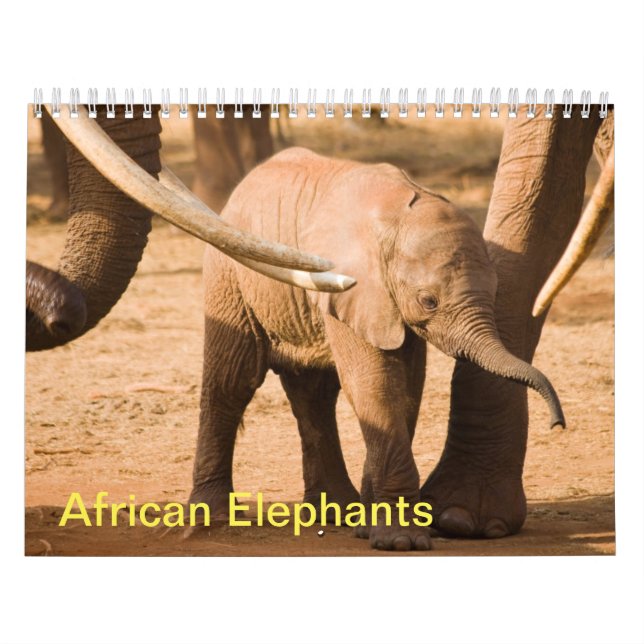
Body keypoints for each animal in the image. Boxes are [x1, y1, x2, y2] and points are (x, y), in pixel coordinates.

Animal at [189, 145, 568, 551]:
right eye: (429, 301)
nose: (557, 423)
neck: (397, 218)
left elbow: (406, 389)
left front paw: (368, 527)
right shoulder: (350, 284)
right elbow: (377, 384)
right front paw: (401, 542)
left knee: (314, 394)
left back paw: (334, 513)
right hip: (230, 271)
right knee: (232, 381)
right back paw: (211, 520)